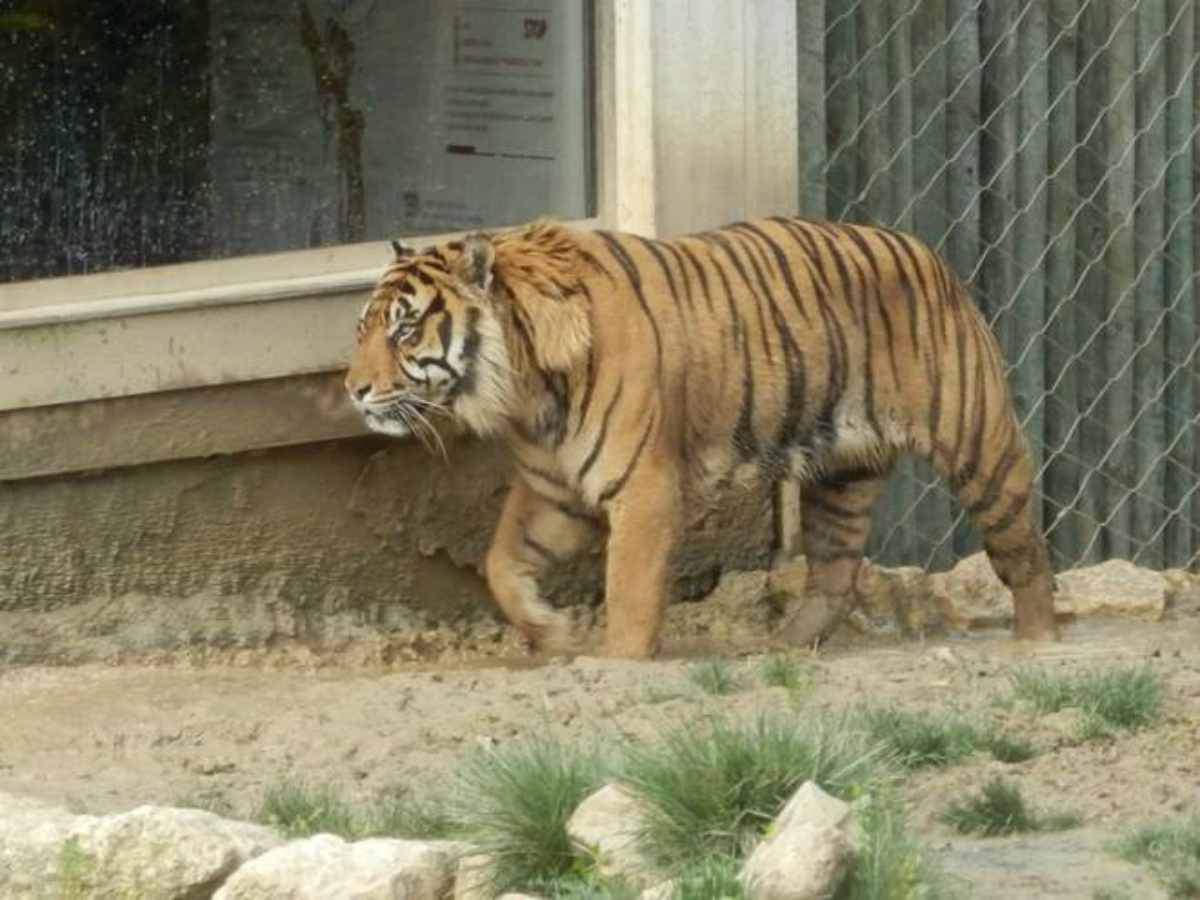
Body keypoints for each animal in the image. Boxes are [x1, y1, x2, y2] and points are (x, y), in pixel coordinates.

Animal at [344, 216, 1060, 659]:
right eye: (363, 329)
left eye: (404, 330)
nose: (353, 389)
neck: (527, 389)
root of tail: (930, 251)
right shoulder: (554, 489)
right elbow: (500, 564)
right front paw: (554, 634)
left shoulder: (643, 489)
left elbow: (630, 591)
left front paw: (615, 662)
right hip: (841, 474)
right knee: (834, 572)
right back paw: (781, 648)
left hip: (979, 445)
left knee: (1023, 550)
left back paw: (1037, 639)